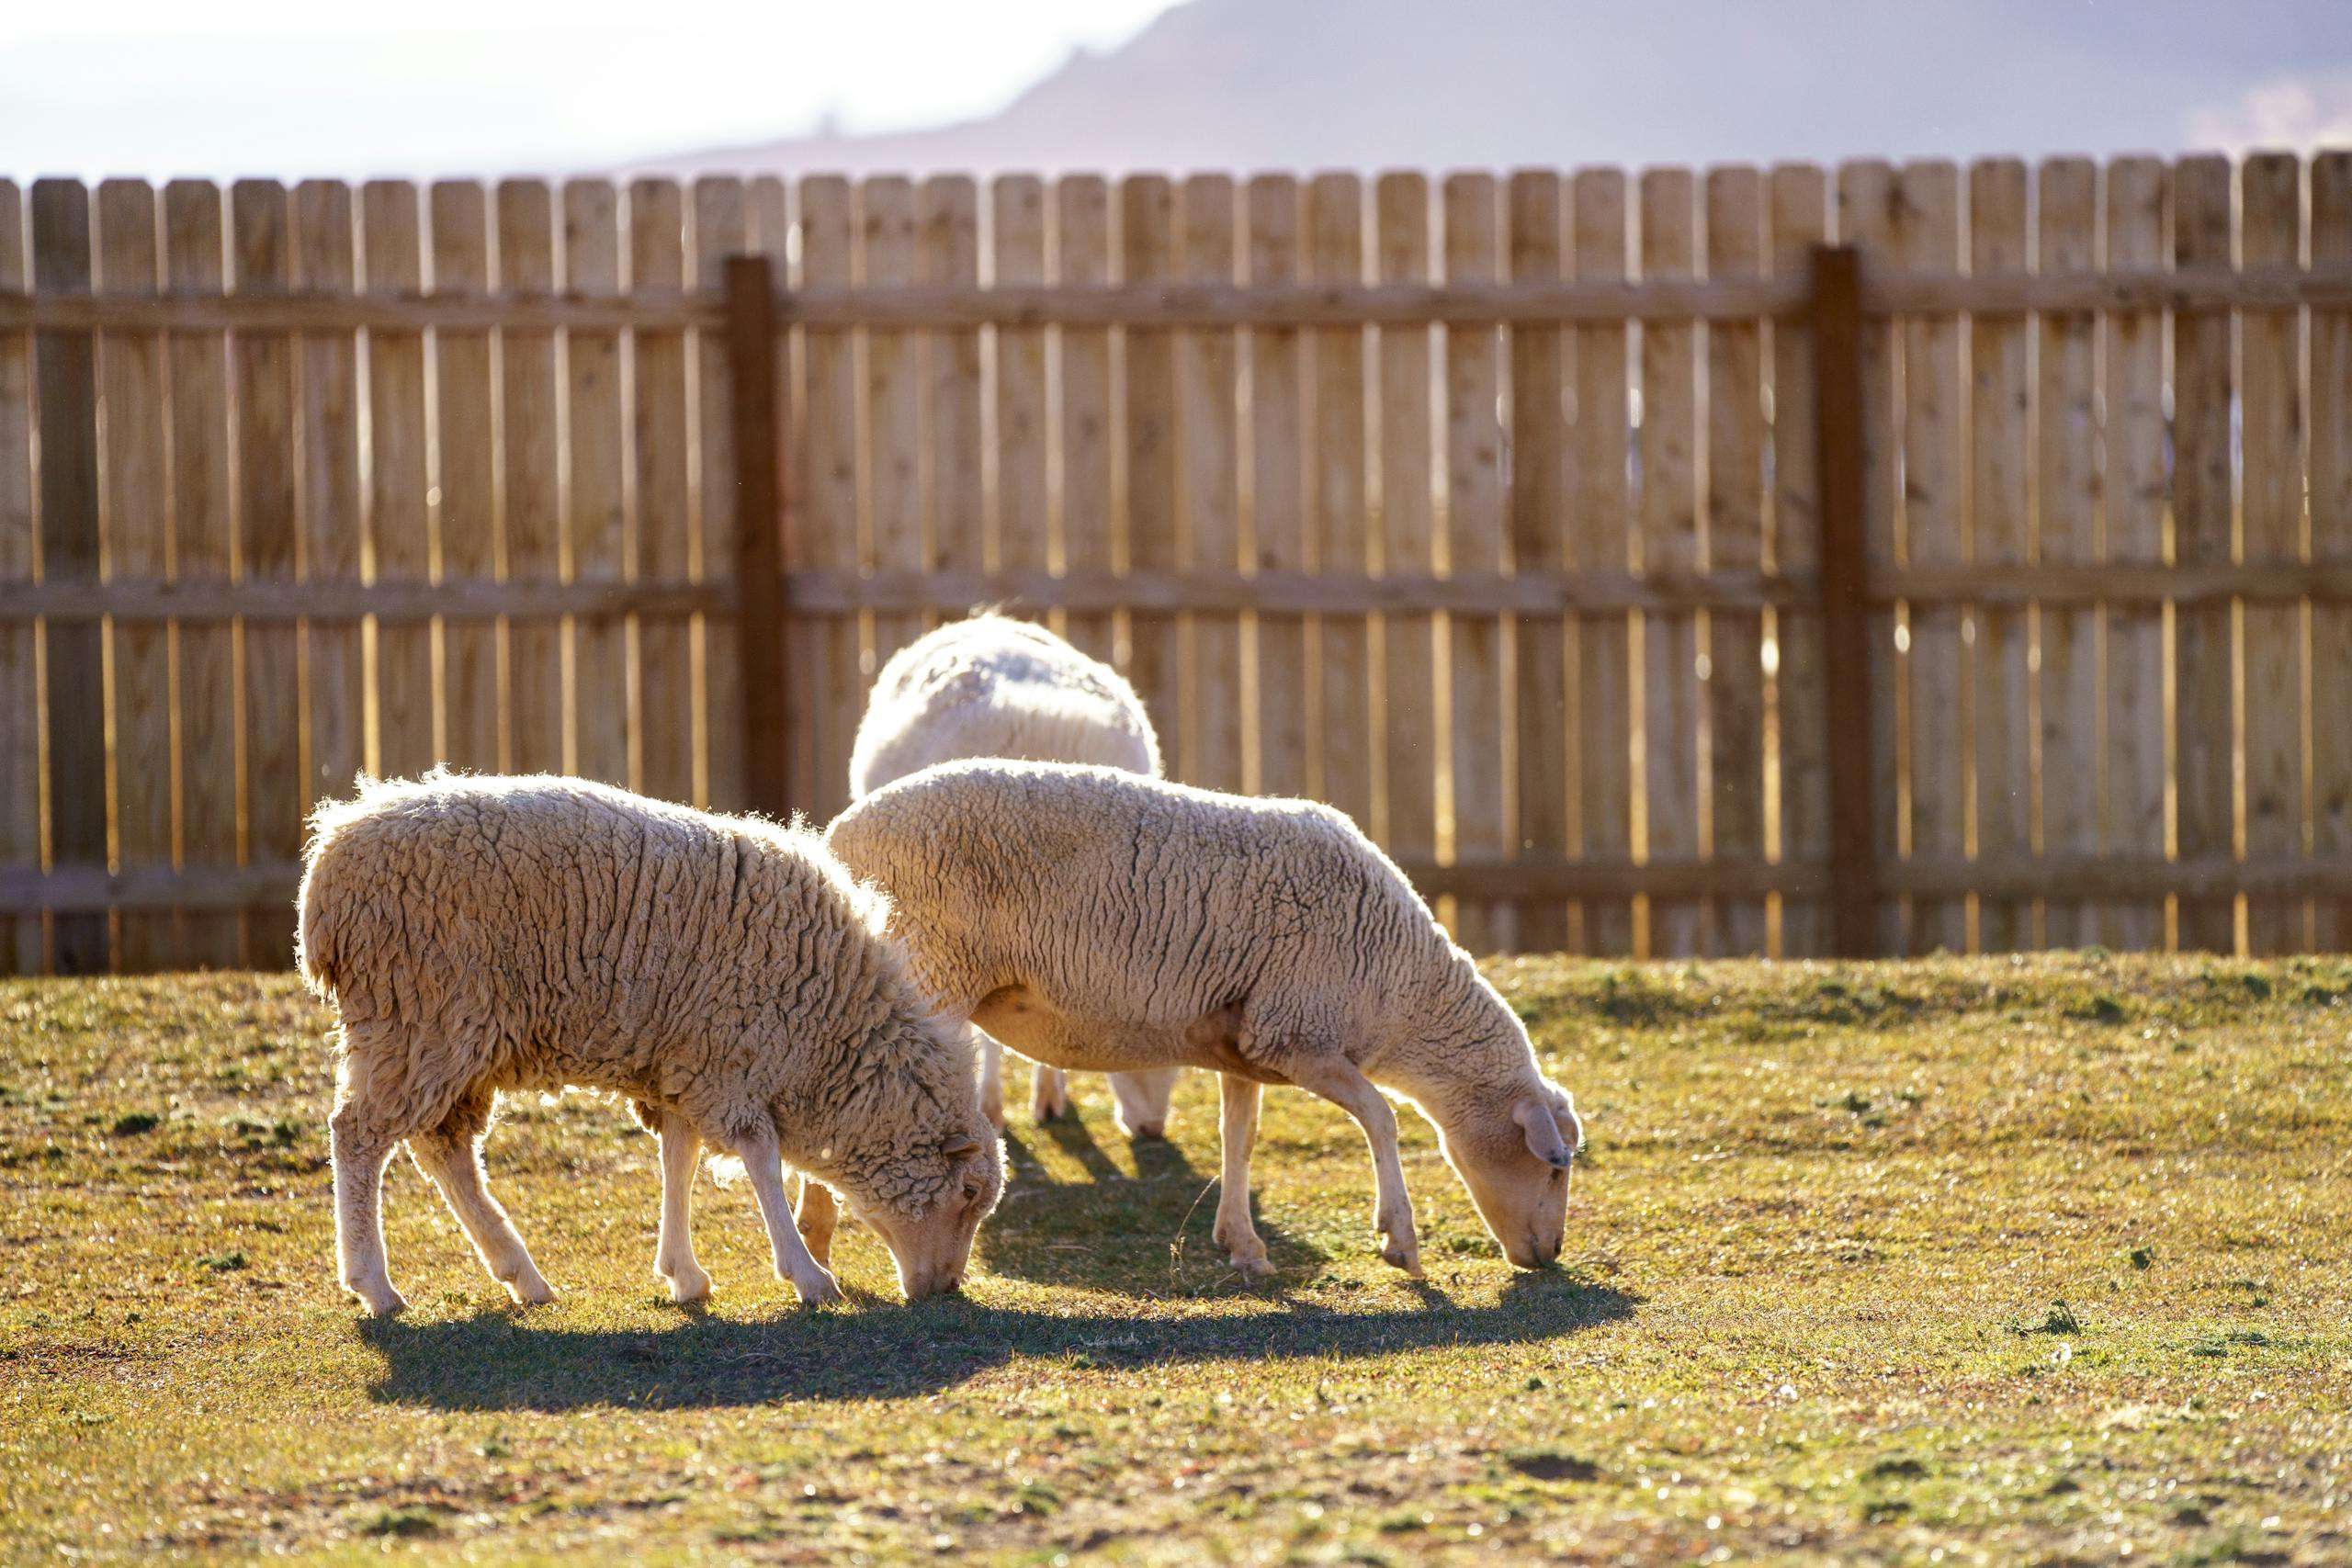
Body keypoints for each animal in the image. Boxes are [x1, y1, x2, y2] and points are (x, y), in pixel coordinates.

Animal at [296, 772, 1002, 1316]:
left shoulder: (683, 1059)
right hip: (422, 1014)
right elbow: (760, 1159)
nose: (945, 1291)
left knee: (444, 1151)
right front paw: (807, 1274)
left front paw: (683, 1272)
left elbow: (679, 1156)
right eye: (967, 1195)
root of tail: (327, 863)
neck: (829, 1027)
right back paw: (375, 1284)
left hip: (449, 1037)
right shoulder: (729, 1056)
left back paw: (522, 1275)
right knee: (357, 1135)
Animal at [824, 761, 1583, 1279]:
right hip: (928, 972)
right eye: (1555, 1169)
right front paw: (1399, 1237)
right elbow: (1383, 1117)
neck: (1400, 984)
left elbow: (1238, 1139)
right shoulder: (1299, 1032)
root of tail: (837, 834)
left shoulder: (1246, 1049)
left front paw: (1240, 1243)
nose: (1549, 1254)